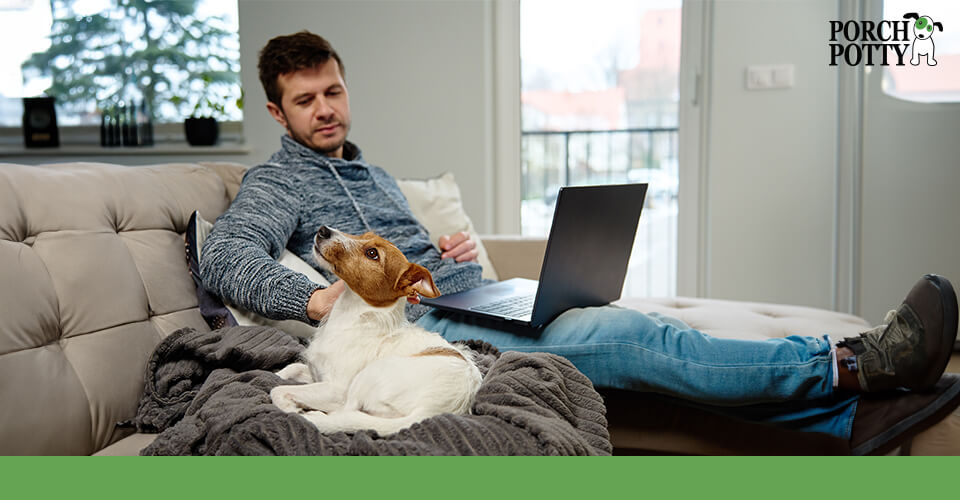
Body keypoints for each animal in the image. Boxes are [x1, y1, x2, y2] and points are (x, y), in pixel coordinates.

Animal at [268, 225, 480, 436]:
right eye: (363, 235)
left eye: (372, 254)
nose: (323, 230)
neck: (350, 316)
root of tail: (431, 411)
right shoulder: (316, 375)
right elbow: (292, 368)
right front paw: (278, 376)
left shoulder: (335, 389)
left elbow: (277, 391)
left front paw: (290, 407)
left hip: (366, 377)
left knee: (346, 413)